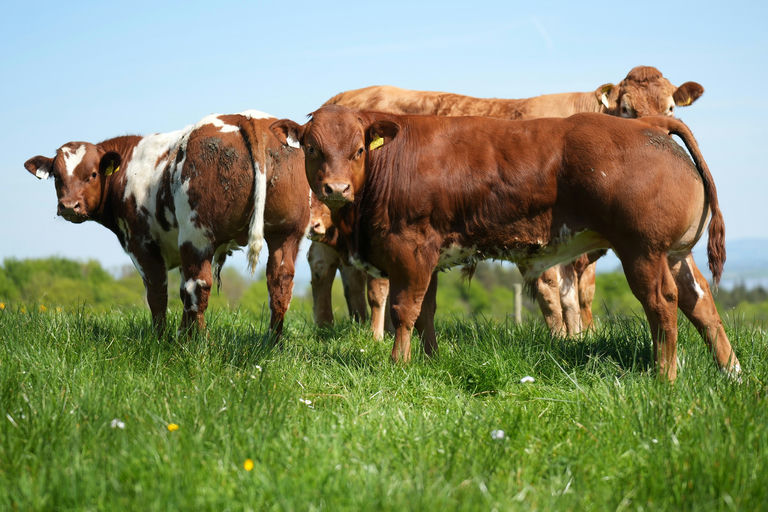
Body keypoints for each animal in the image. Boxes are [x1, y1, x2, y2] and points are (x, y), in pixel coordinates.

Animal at [24, 111, 309, 338]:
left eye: (92, 174)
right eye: (56, 177)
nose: (69, 206)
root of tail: (247, 117)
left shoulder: (141, 243)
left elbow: (157, 294)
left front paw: (159, 339)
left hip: (197, 235)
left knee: (198, 287)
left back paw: (195, 344)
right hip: (287, 234)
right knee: (279, 285)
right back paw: (271, 344)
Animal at [271, 105, 740, 381]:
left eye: (357, 150)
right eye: (312, 149)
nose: (335, 188)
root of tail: (647, 122)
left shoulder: (412, 248)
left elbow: (404, 311)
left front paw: (398, 364)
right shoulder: (431, 254)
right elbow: (427, 313)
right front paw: (431, 360)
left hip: (643, 251)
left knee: (662, 304)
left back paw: (665, 377)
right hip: (675, 253)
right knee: (700, 303)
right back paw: (730, 371)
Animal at [310, 66, 705, 338]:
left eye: (672, 106)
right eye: (625, 108)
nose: (656, 128)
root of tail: (341, 97)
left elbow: (580, 296)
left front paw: (581, 337)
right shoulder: (541, 239)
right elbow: (553, 294)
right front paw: (561, 339)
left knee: (346, 272)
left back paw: (348, 325)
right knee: (334, 268)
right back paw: (353, 331)